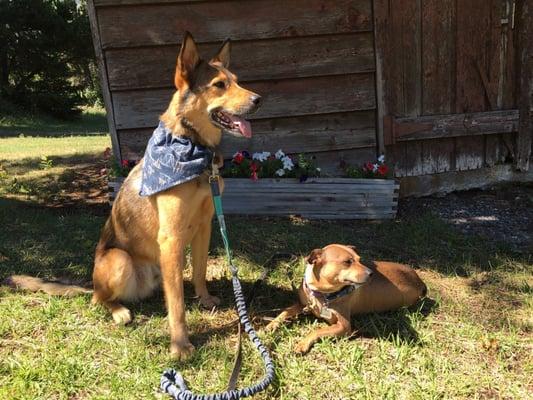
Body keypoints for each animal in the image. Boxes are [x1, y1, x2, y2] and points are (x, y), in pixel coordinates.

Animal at [6, 32, 260, 360]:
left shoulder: (205, 226)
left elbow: (200, 271)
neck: (193, 148)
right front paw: (180, 344)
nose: (258, 100)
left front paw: (203, 299)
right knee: (100, 300)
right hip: (120, 260)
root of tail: (92, 284)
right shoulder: (171, 238)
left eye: (237, 81)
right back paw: (119, 311)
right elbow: (177, 304)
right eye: (219, 85)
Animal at [264, 244, 426, 354]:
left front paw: (302, 343)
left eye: (360, 260)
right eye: (348, 262)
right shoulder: (302, 304)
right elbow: (285, 312)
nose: (371, 273)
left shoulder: (344, 326)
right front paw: (271, 325)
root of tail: (420, 281)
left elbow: (317, 330)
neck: (321, 293)